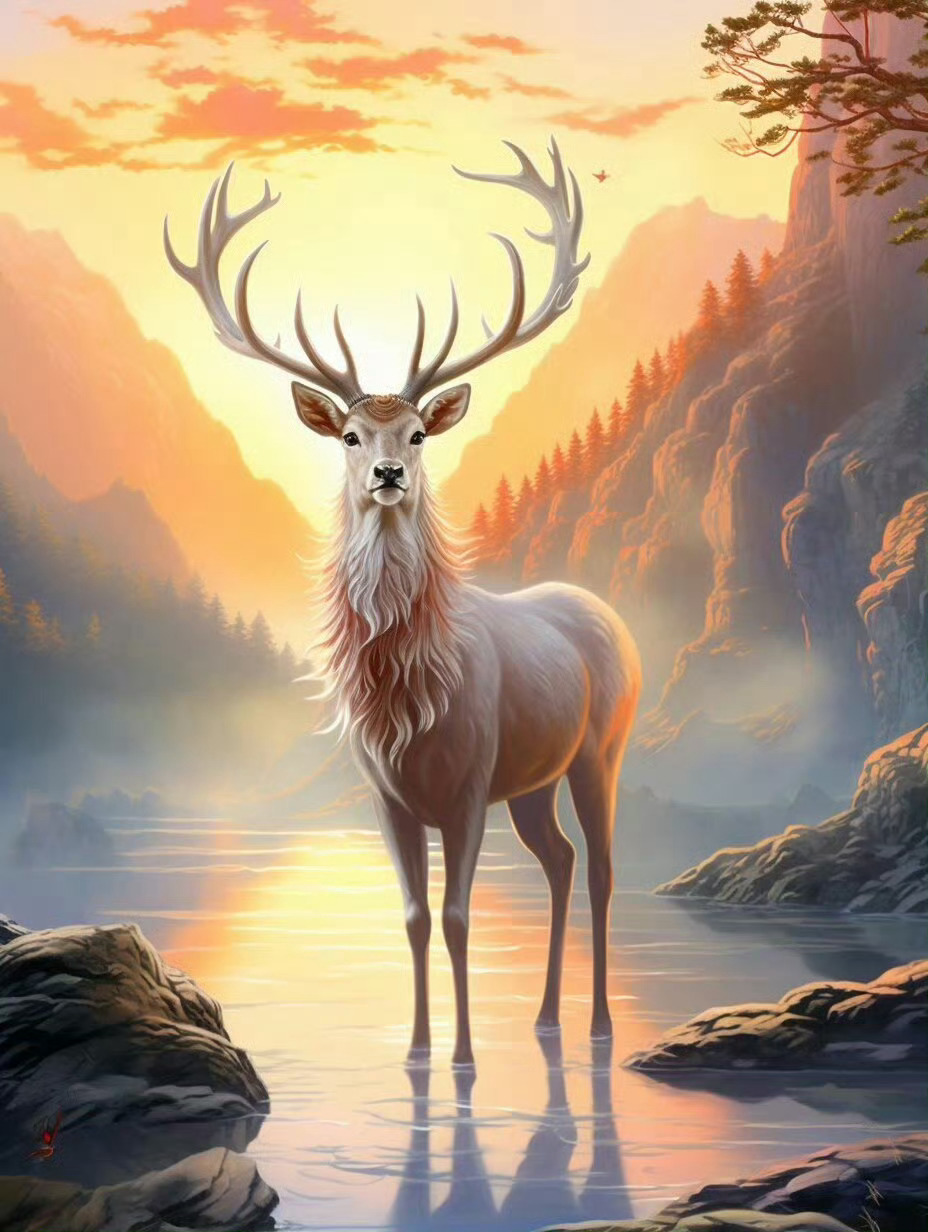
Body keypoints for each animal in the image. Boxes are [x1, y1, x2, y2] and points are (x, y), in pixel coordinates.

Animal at [164, 138, 641, 1068]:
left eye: (418, 432)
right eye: (351, 435)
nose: (387, 473)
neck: (407, 693)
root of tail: (613, 617)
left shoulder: (468, 782)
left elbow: (457, 918)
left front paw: (463, 1057)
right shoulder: (385, 793)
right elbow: (417, 918)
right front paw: (418, 1050)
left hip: (602, 747)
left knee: (604, 870)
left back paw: (598, 1023)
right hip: (533, 781)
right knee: (561, 861)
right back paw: (545, 1018)